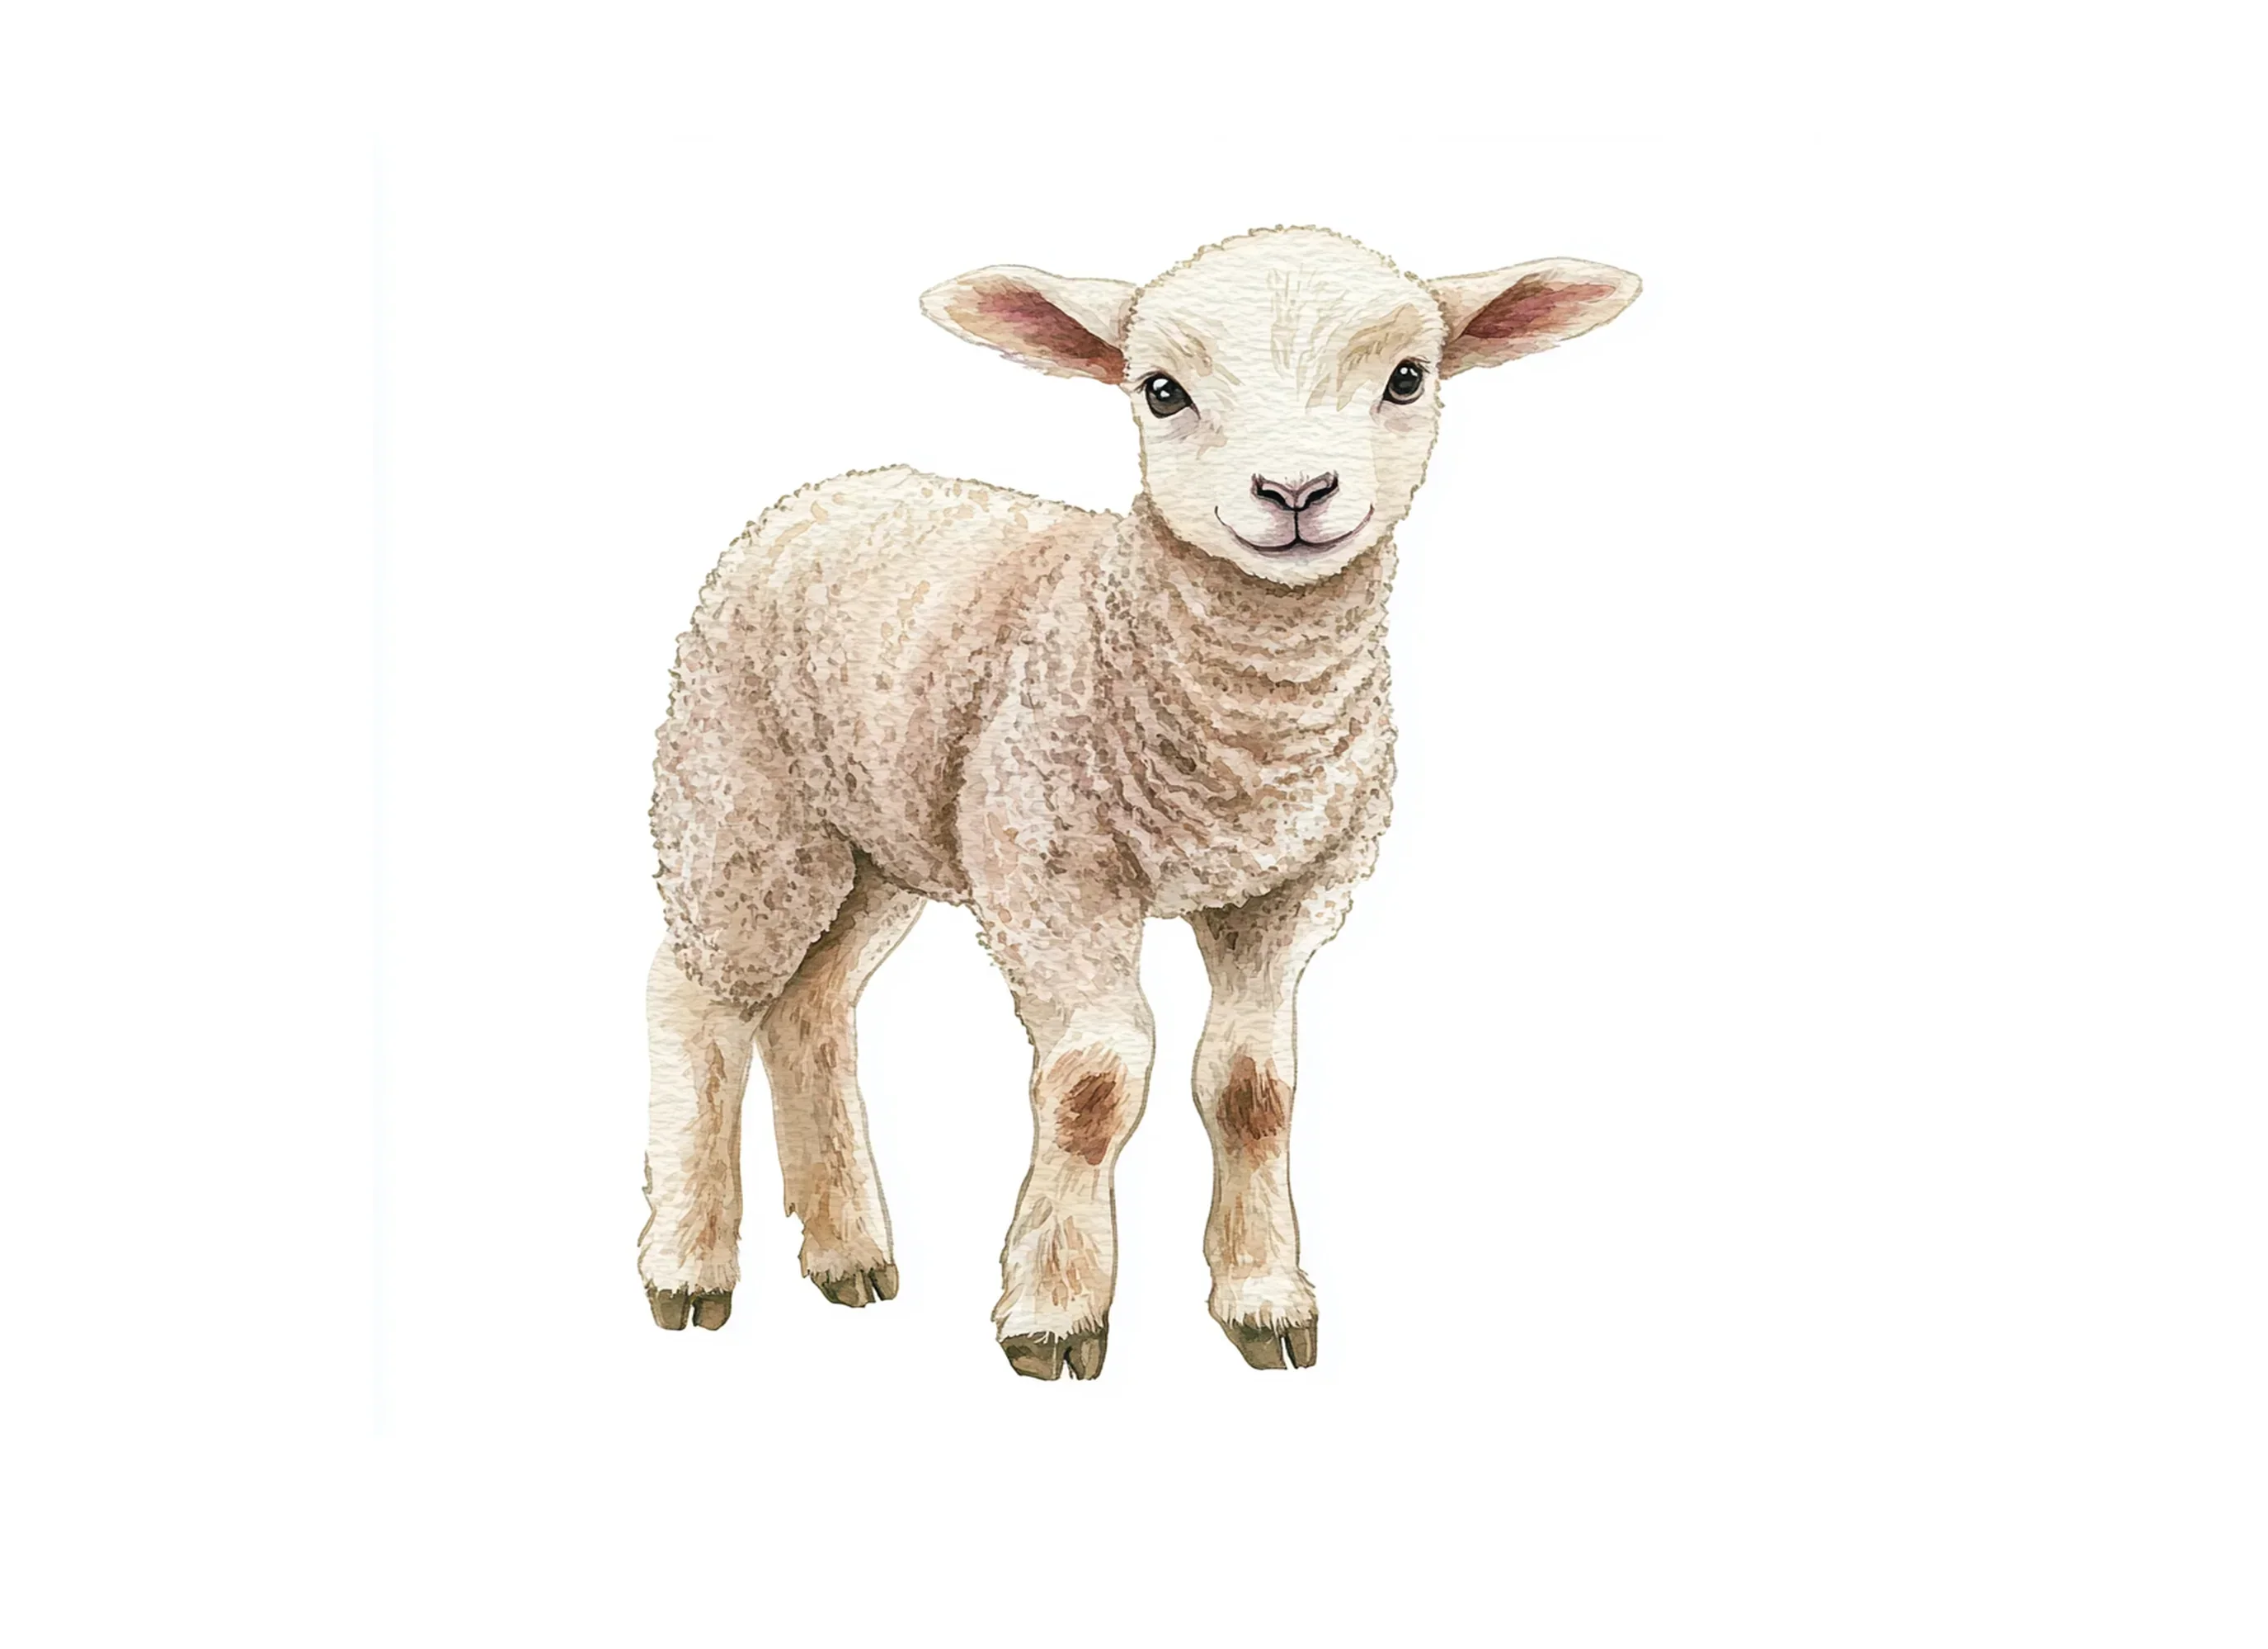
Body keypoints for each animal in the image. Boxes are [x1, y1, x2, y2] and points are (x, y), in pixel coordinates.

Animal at [640, 226, 1640, 1377]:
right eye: (1161, 391)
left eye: (1405, 377)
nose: (1294, 490)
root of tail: (835, 486)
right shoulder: (1050, 875)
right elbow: (1093, 1083)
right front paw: (1054, 1311)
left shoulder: (1286, 890)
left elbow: (1253, 1085)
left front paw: (1262, 1299)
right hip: (741, 798)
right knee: (699, 996)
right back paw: (687, 1264)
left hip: (882, 836)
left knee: (810, 1004)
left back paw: (848, 1251)